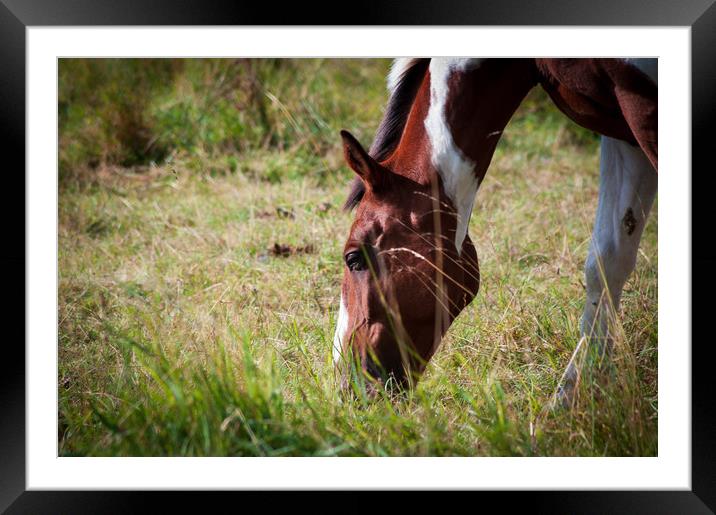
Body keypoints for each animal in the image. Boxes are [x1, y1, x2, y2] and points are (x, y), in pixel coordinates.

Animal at [332, 56, 656, 404]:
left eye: (353, 258)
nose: (346, 384)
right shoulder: (621, 133)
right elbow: (606, 263)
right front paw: (572, 401)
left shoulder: (641, 113)